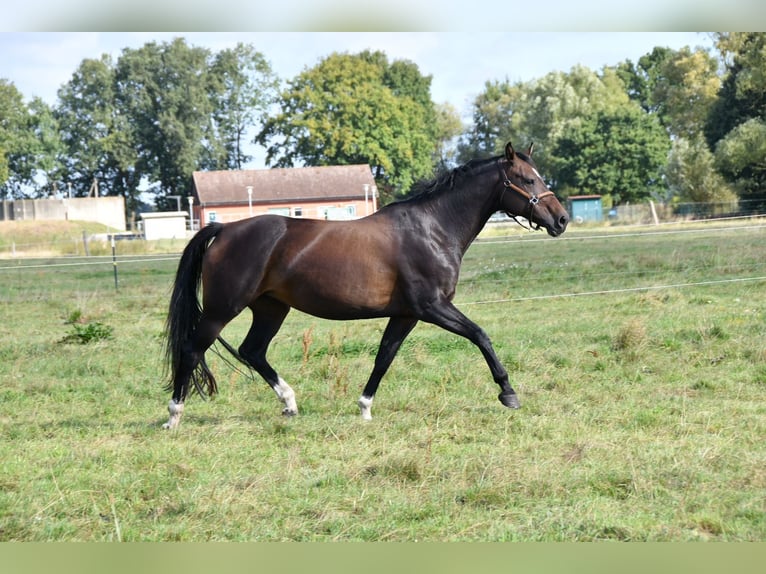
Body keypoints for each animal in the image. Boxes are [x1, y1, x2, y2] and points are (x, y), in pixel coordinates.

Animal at [164, 143, 568, 432]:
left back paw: (290, 403)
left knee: (252, 351)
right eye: (527, 180)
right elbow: (481, 335)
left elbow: (384, 357)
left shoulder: (406, 314)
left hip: (271, 308)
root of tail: (224, 229)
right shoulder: (432, 307)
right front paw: (508, 393)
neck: (433, 229)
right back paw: (173, 415)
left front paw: (365, 407)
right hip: (222, 309)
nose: (561, 219)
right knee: (192, 349)